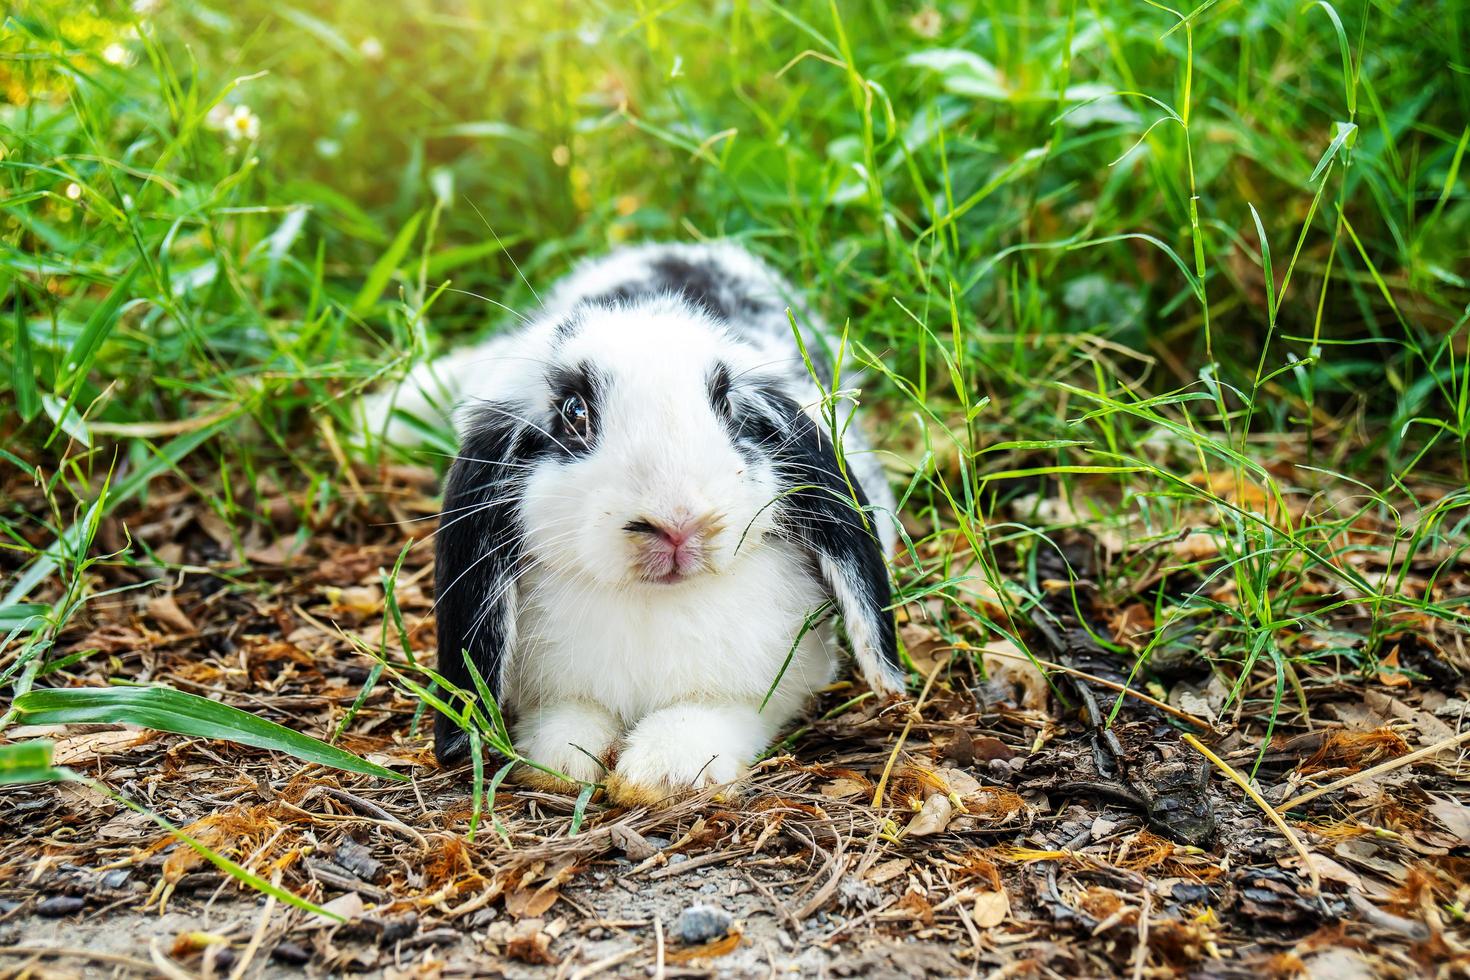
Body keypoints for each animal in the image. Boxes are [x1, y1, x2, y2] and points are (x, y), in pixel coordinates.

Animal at [361, 239, 899, 805]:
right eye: (574, 412)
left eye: (727, 406)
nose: (678, 523)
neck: (649, 604)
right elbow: (568, 718)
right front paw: (560, 762)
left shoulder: (772, 686)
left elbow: (711, 714)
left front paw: (661, 773)